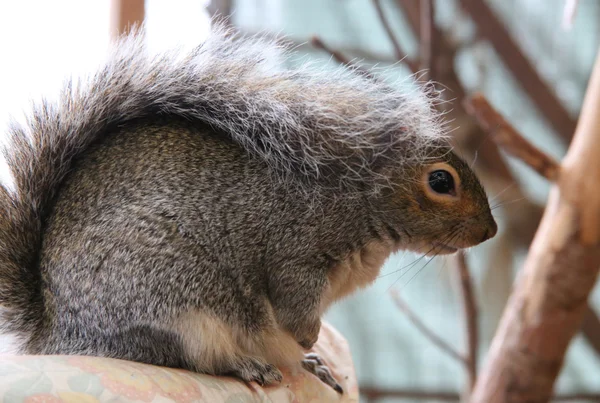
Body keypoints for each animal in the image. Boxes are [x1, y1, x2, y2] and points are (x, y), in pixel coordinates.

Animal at [0, 26, 496, 394]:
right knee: (185, 355)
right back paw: (245, 365)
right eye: (440, 182)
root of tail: (58, 333)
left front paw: (311, 352)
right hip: (169, 295)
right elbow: (293, 301)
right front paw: (307, 336)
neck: (358, 203)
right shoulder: (294, 250)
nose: (489, 232)